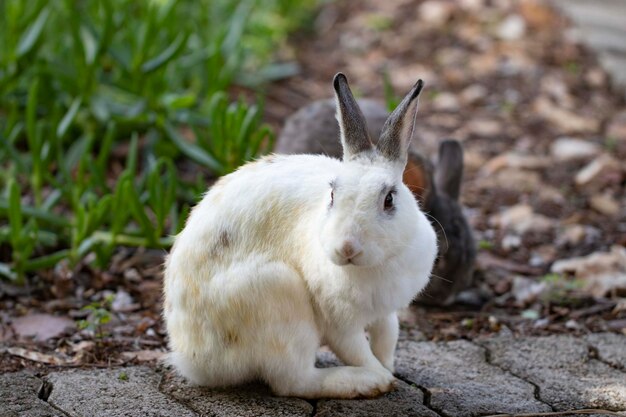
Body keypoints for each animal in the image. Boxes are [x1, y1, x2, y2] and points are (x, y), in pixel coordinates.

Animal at [163, 73, 436, 398]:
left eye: (389, 199)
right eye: (332, 195)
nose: (347, 248)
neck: (375, 266)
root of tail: (191, 360)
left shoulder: (386, 312)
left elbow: (387, 337)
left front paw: (389, 367)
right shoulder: (338, 324)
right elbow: (358, 351)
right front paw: (383, 376)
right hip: (280, 301)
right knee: (294, 381)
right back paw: (364, 382)